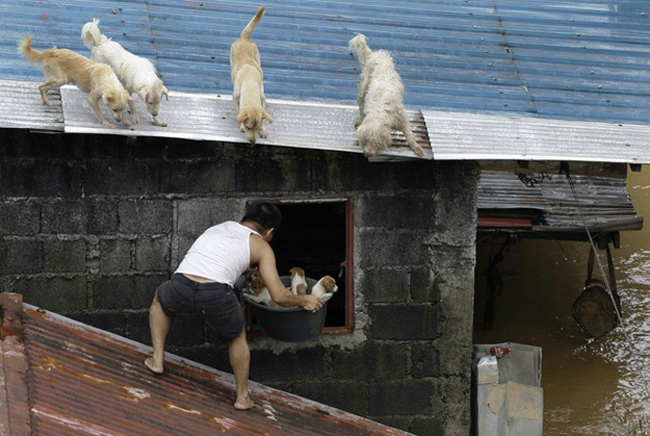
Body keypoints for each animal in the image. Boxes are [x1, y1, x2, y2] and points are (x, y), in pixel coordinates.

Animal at [229, 5, 272, 144]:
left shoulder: (261, 98)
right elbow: (239, 113)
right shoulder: (235, 98)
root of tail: (244, 37)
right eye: (248, 127)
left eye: (256, 128)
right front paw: (241, 126)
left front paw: (263, 129)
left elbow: (263, 116)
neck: (250, 83)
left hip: (258, 59)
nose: (253, 142)